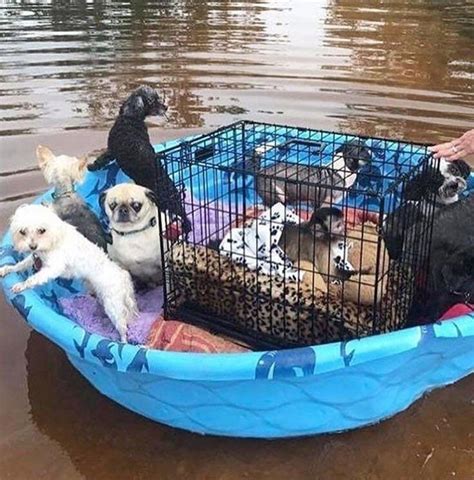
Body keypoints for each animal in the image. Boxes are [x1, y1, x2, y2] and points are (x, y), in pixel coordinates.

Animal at [0, 204, 137, 344]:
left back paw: (122, 341)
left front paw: (21, 285)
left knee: (123, 327)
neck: (54, 239)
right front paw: (8, 268)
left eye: (42, 230)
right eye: (22, 232)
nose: (32, 246)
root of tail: (122, 276)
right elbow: (21, 264)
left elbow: (34, 278)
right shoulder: (36, 257)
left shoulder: (54, 268)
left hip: (113, 306)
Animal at [158, 120, 436, 348]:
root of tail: (260, 170)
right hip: (277, 197)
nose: (375, 160)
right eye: (363, 153)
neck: (342, 170)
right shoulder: (323, 205)